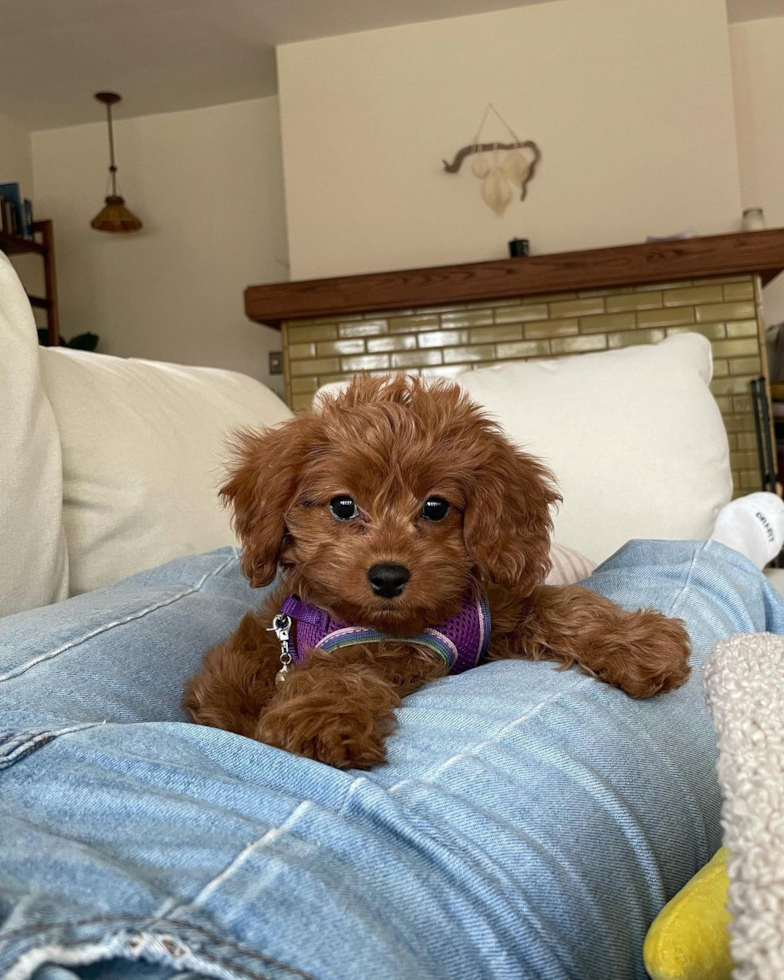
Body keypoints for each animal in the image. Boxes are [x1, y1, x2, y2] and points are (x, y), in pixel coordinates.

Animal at [185, 376, 692, 764]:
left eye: (435, 507)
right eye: (343, 506)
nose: (388, 577)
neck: (408, 626)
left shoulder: (493, 615)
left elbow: (560, 603)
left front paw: (639, 643)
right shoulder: (333, 648)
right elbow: (330, 672)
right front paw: (321, 720)